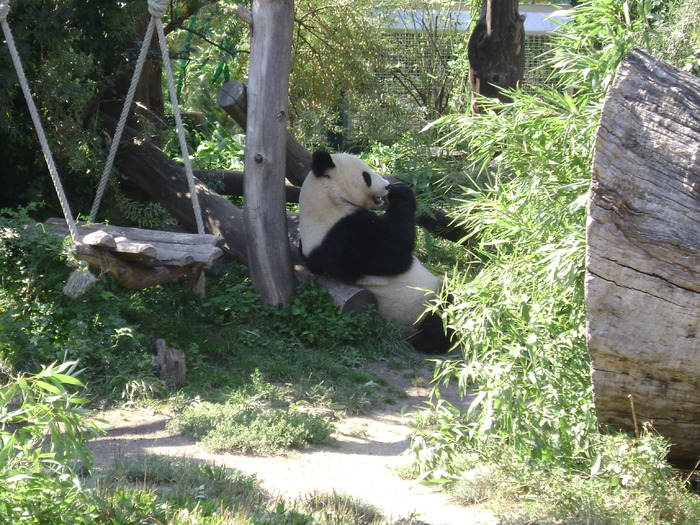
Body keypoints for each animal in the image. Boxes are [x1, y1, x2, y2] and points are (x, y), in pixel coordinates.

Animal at [300, 149, 454, 352]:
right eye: (366, 176)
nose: (387, 186)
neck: (327, 198)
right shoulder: (346, 237)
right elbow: (394, 252)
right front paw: (401, 191)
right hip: (421, 306)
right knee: (443, 313)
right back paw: (431, 342)